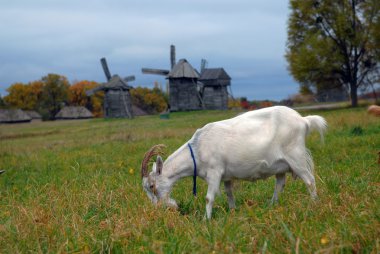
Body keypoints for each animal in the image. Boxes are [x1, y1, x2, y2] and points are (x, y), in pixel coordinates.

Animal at [141, 105, 326, 218]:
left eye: (152, 185)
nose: (160, 209)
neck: (198, 148)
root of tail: (304, 120)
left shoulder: (215, 172)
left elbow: (209, 198)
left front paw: (206, 220)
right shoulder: (226, 177)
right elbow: (230, 194)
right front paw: (232, 212)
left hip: (296, 156)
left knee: (309, 180)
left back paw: (314, 205)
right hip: (281, 165)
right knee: (280, 184)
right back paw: (271, 206)